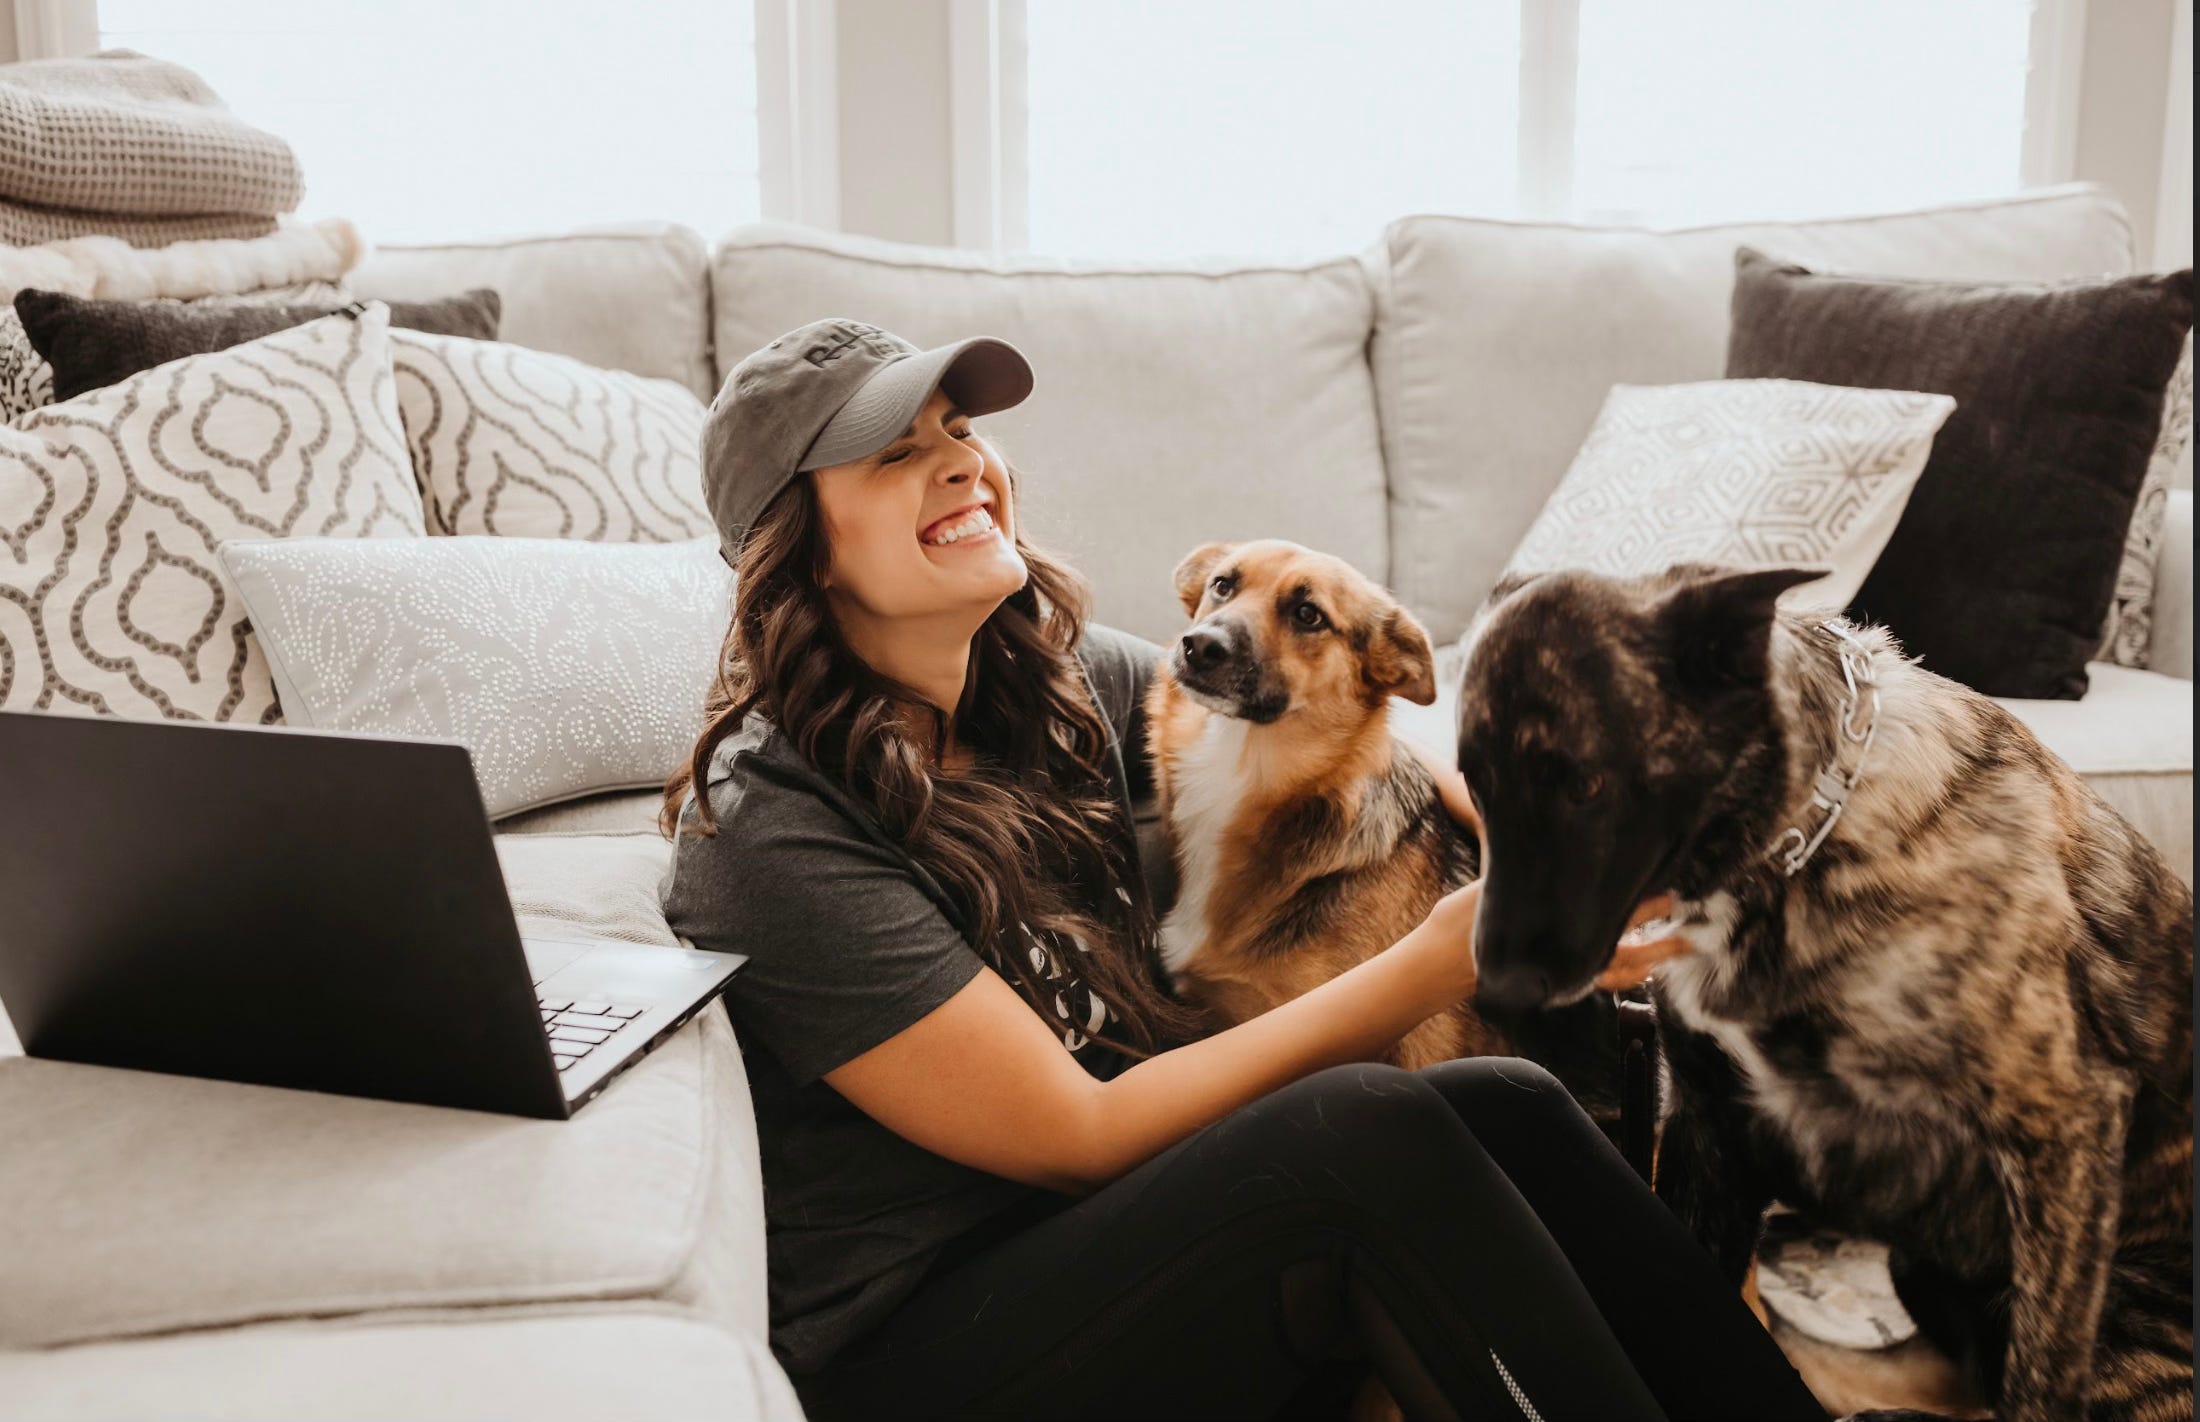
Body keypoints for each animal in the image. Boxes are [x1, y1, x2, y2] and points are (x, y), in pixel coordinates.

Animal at [1453, 562, 2194, 1422]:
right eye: (1474, 783)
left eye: (1584, 784)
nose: (1496, 995)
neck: (1796, 850)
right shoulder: (1710, 1133)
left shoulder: (2060, 1122)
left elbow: (2040, 1384)